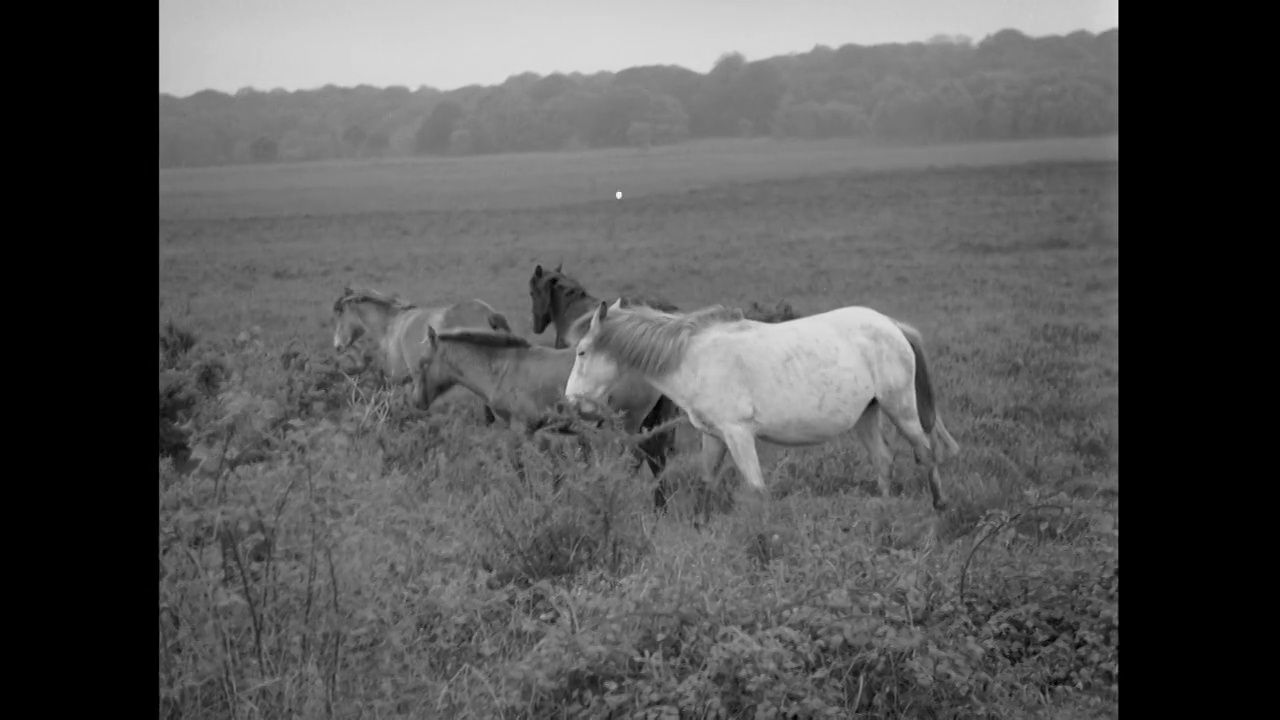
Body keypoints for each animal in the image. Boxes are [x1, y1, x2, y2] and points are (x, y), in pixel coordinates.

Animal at [563, 299, 962, 507]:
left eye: (581, 352)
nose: (572, 404)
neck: (694, 357)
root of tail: (892, 325)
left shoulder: (739, 435)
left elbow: (756, 490)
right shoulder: (714, 437)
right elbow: (707, 483)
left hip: (901, 409)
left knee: (925, 452)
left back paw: (939, 506)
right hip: (867, 413)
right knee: (883, 460)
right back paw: (884, 508)